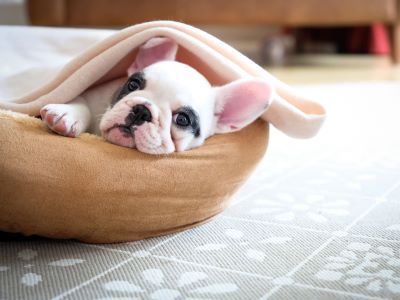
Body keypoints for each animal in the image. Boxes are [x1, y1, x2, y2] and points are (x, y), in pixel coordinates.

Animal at [40, 37, 272, 155]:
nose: (141, 111)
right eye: (133, 84)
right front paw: (66, 115)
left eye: (182, 119)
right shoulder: (92, 93)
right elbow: (82, 102)